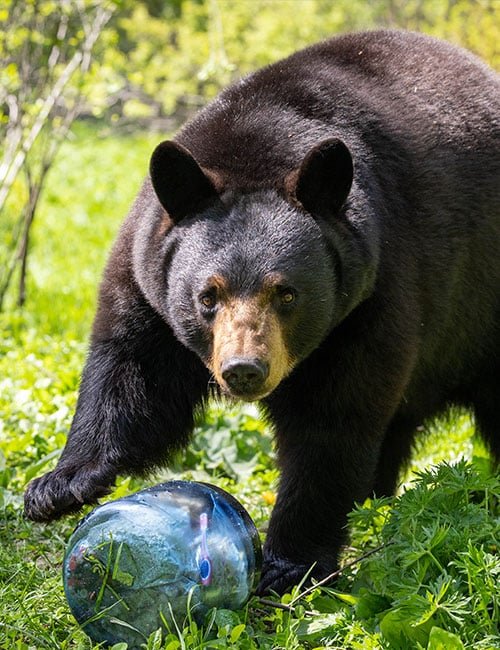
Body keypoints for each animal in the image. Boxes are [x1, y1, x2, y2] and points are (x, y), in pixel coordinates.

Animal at [24, 30, 500, 595]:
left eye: (286, 294)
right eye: (208, 296)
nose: (244, 370)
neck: (262, 139)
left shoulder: (374, 294)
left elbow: (332, 424)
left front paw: (289, 563)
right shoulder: (146, 277)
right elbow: (133, 374)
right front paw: (59, 486)